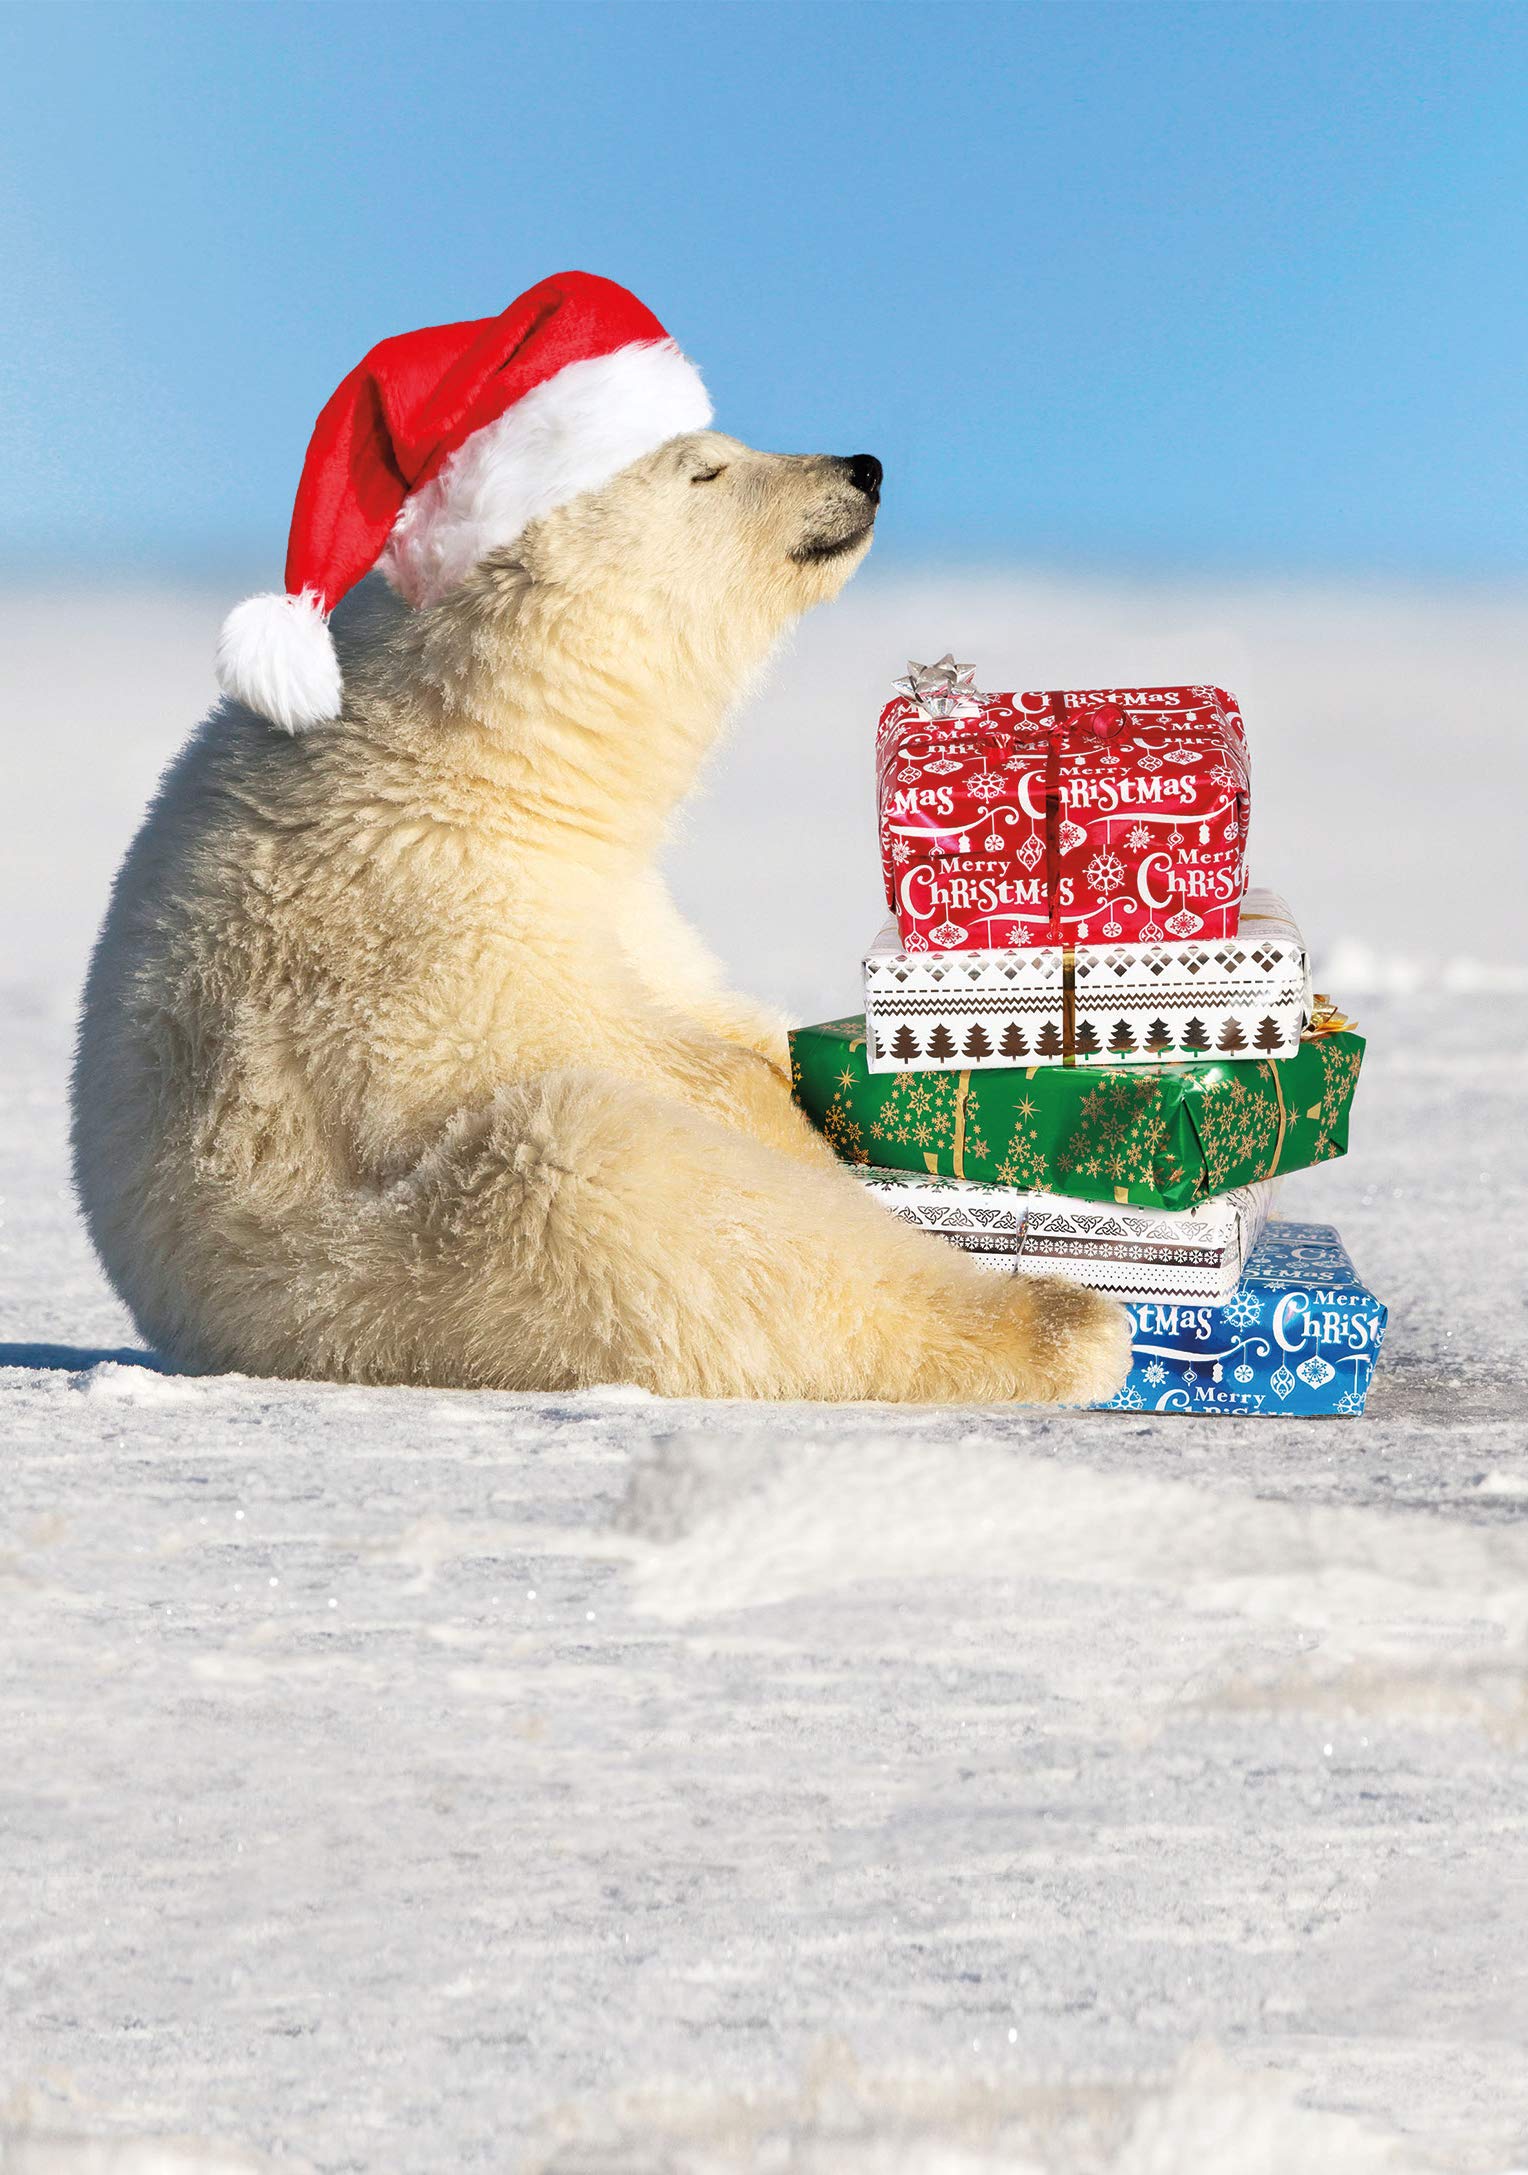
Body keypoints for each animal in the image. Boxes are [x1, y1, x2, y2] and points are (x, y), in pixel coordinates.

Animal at [71, 430, 1131, 1404]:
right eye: (705, 469)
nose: (860, 467)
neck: (474, 760)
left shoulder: (622, 899)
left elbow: (707, 1005)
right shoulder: (406, 913)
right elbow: (559, 1048)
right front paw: (789, 1116)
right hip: (389, 1286)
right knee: (609, 1184)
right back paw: (1066, 1322)